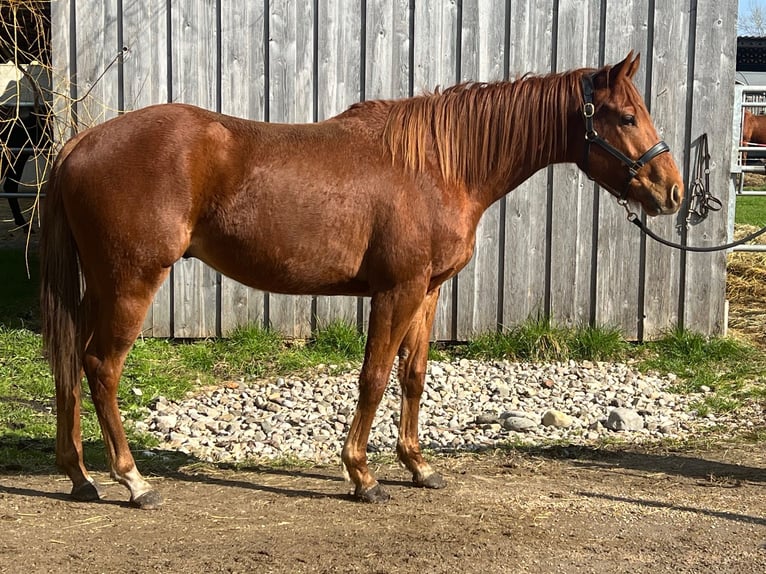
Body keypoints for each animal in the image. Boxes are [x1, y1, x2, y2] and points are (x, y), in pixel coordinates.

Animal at [39, 50, 684, 508]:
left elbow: (413, 377)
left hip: (99, 287)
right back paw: (133, 481)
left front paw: (419, 466)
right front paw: (362, 475)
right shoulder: (396, 291)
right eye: (627, 116)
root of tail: (79, 143)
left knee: (70, 366)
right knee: (101, 367)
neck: (436, 166)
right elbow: (373, 378)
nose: (672, 191)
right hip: (130, 283)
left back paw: (80, 476)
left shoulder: (427, 291)